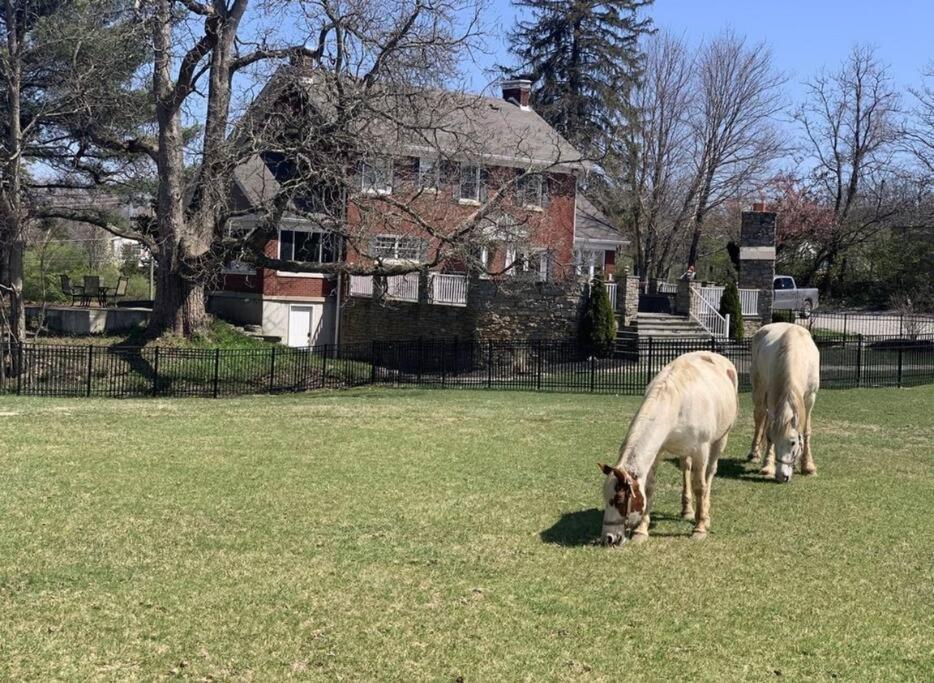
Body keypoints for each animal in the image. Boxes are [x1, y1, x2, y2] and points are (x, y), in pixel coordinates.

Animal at [604, 352, 744, 544]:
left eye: (619, 499)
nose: (608, 538)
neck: (676, 402)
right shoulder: (657, 451)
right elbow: (649, 488)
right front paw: (641, 531)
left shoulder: (701, 450)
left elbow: (700, 486)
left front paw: (699, 528)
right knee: (686, 468)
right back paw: (687, 510)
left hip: (721, 439)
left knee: (710, 472)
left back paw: (705, 514)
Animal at [744, 324, 820, 484]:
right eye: (774, 439)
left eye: (793, 443)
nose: (781, 476)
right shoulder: (773, 398)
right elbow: (768, 430)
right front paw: (767, 466)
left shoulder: (810, 397)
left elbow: (806, 430)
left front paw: (808, 466)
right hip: (759, 390)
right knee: (759, 417)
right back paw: (755, 453)